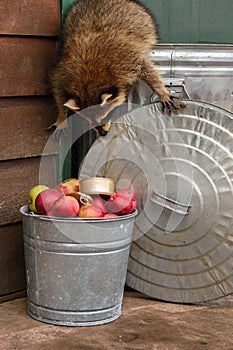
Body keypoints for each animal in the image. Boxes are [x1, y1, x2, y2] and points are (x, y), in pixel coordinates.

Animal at [49, 0, 177, 136]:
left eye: (104, 117)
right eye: (89, 122)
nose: (103, 134)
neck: (89, 80)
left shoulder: (125, 60)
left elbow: (146, 68)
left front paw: (161, 91)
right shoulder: (64, 71)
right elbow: (57, 88)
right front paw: (61, 117)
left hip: (145, 21)